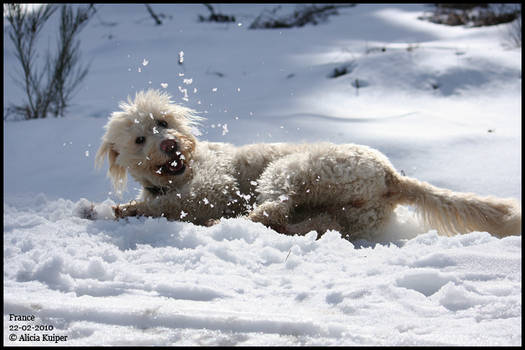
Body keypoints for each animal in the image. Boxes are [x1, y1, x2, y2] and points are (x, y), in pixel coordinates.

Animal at [91, 89, 520, 239]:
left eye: (163, 121)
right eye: (140, 139)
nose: (169, 144)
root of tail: (391, 177)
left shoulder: (215, 186)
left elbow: (171, 205)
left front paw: (115, 210)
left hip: (293, 169)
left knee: (273, 208)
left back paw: (226, 223)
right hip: (347, 216)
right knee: (305, 222)